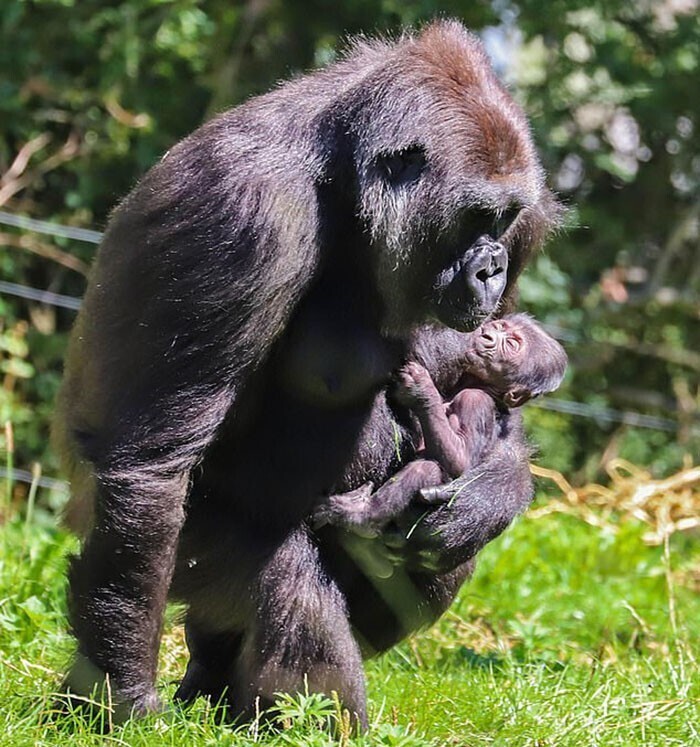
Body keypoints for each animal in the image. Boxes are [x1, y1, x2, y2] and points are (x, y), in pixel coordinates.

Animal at [314, 312, 568, 536]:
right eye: (500, 327)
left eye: (512, 344)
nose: (488, 335)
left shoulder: (475, 401)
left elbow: (461, 461)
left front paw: (422, 391)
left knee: (425, 469)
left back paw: (362, 516)